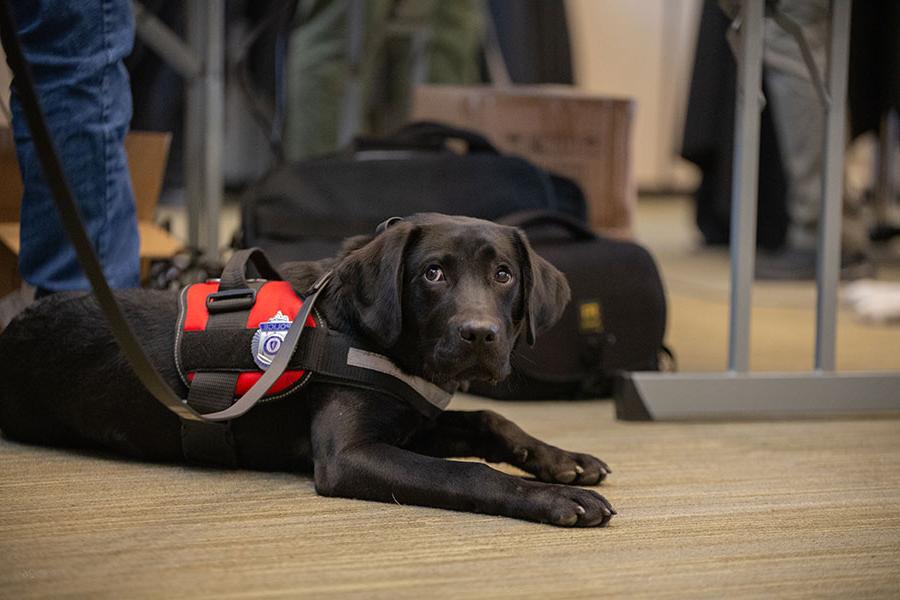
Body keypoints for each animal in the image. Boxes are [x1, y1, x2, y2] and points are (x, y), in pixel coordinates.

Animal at [0, 213, 612, 528]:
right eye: (433, 273)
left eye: (504, 274)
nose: (480, 334)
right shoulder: (349, 456)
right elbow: (469, 473)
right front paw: (552, 498)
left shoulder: (412, 421)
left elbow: (489, 419)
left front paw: (563, 461)